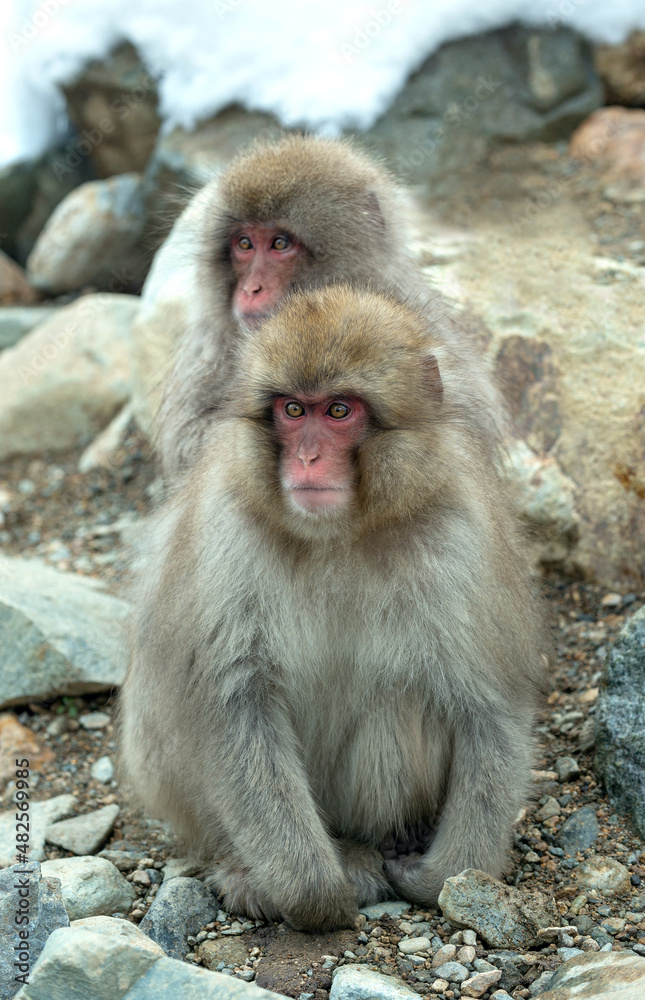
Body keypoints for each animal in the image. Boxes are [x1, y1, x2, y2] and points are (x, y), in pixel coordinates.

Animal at [118, 282, 540, 928]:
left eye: (339, 412)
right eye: (294, 411)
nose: (308, 459)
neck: (338, 534)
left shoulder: (459, 530)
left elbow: (489, 707)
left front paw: (441, 876)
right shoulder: (224, 528)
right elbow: (234, 707)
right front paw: (314, 894)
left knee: (404, 696)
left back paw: (374, 843)